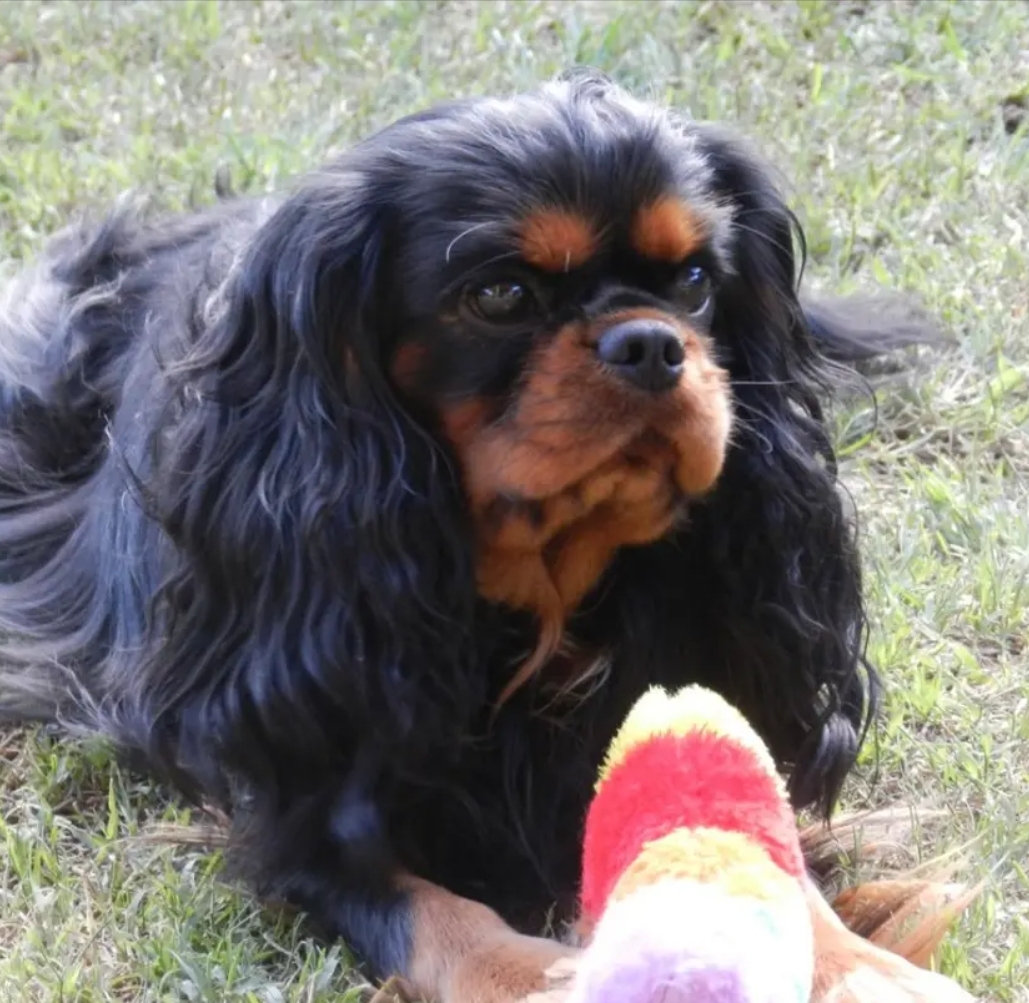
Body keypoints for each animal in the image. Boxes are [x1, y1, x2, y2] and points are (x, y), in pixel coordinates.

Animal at [0, 71, 958, 1001]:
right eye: (499, 296)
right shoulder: (301, 790)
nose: (649, 342)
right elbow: (435, 914)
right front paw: (534, 978)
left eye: (693, 281)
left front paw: (861, 969)